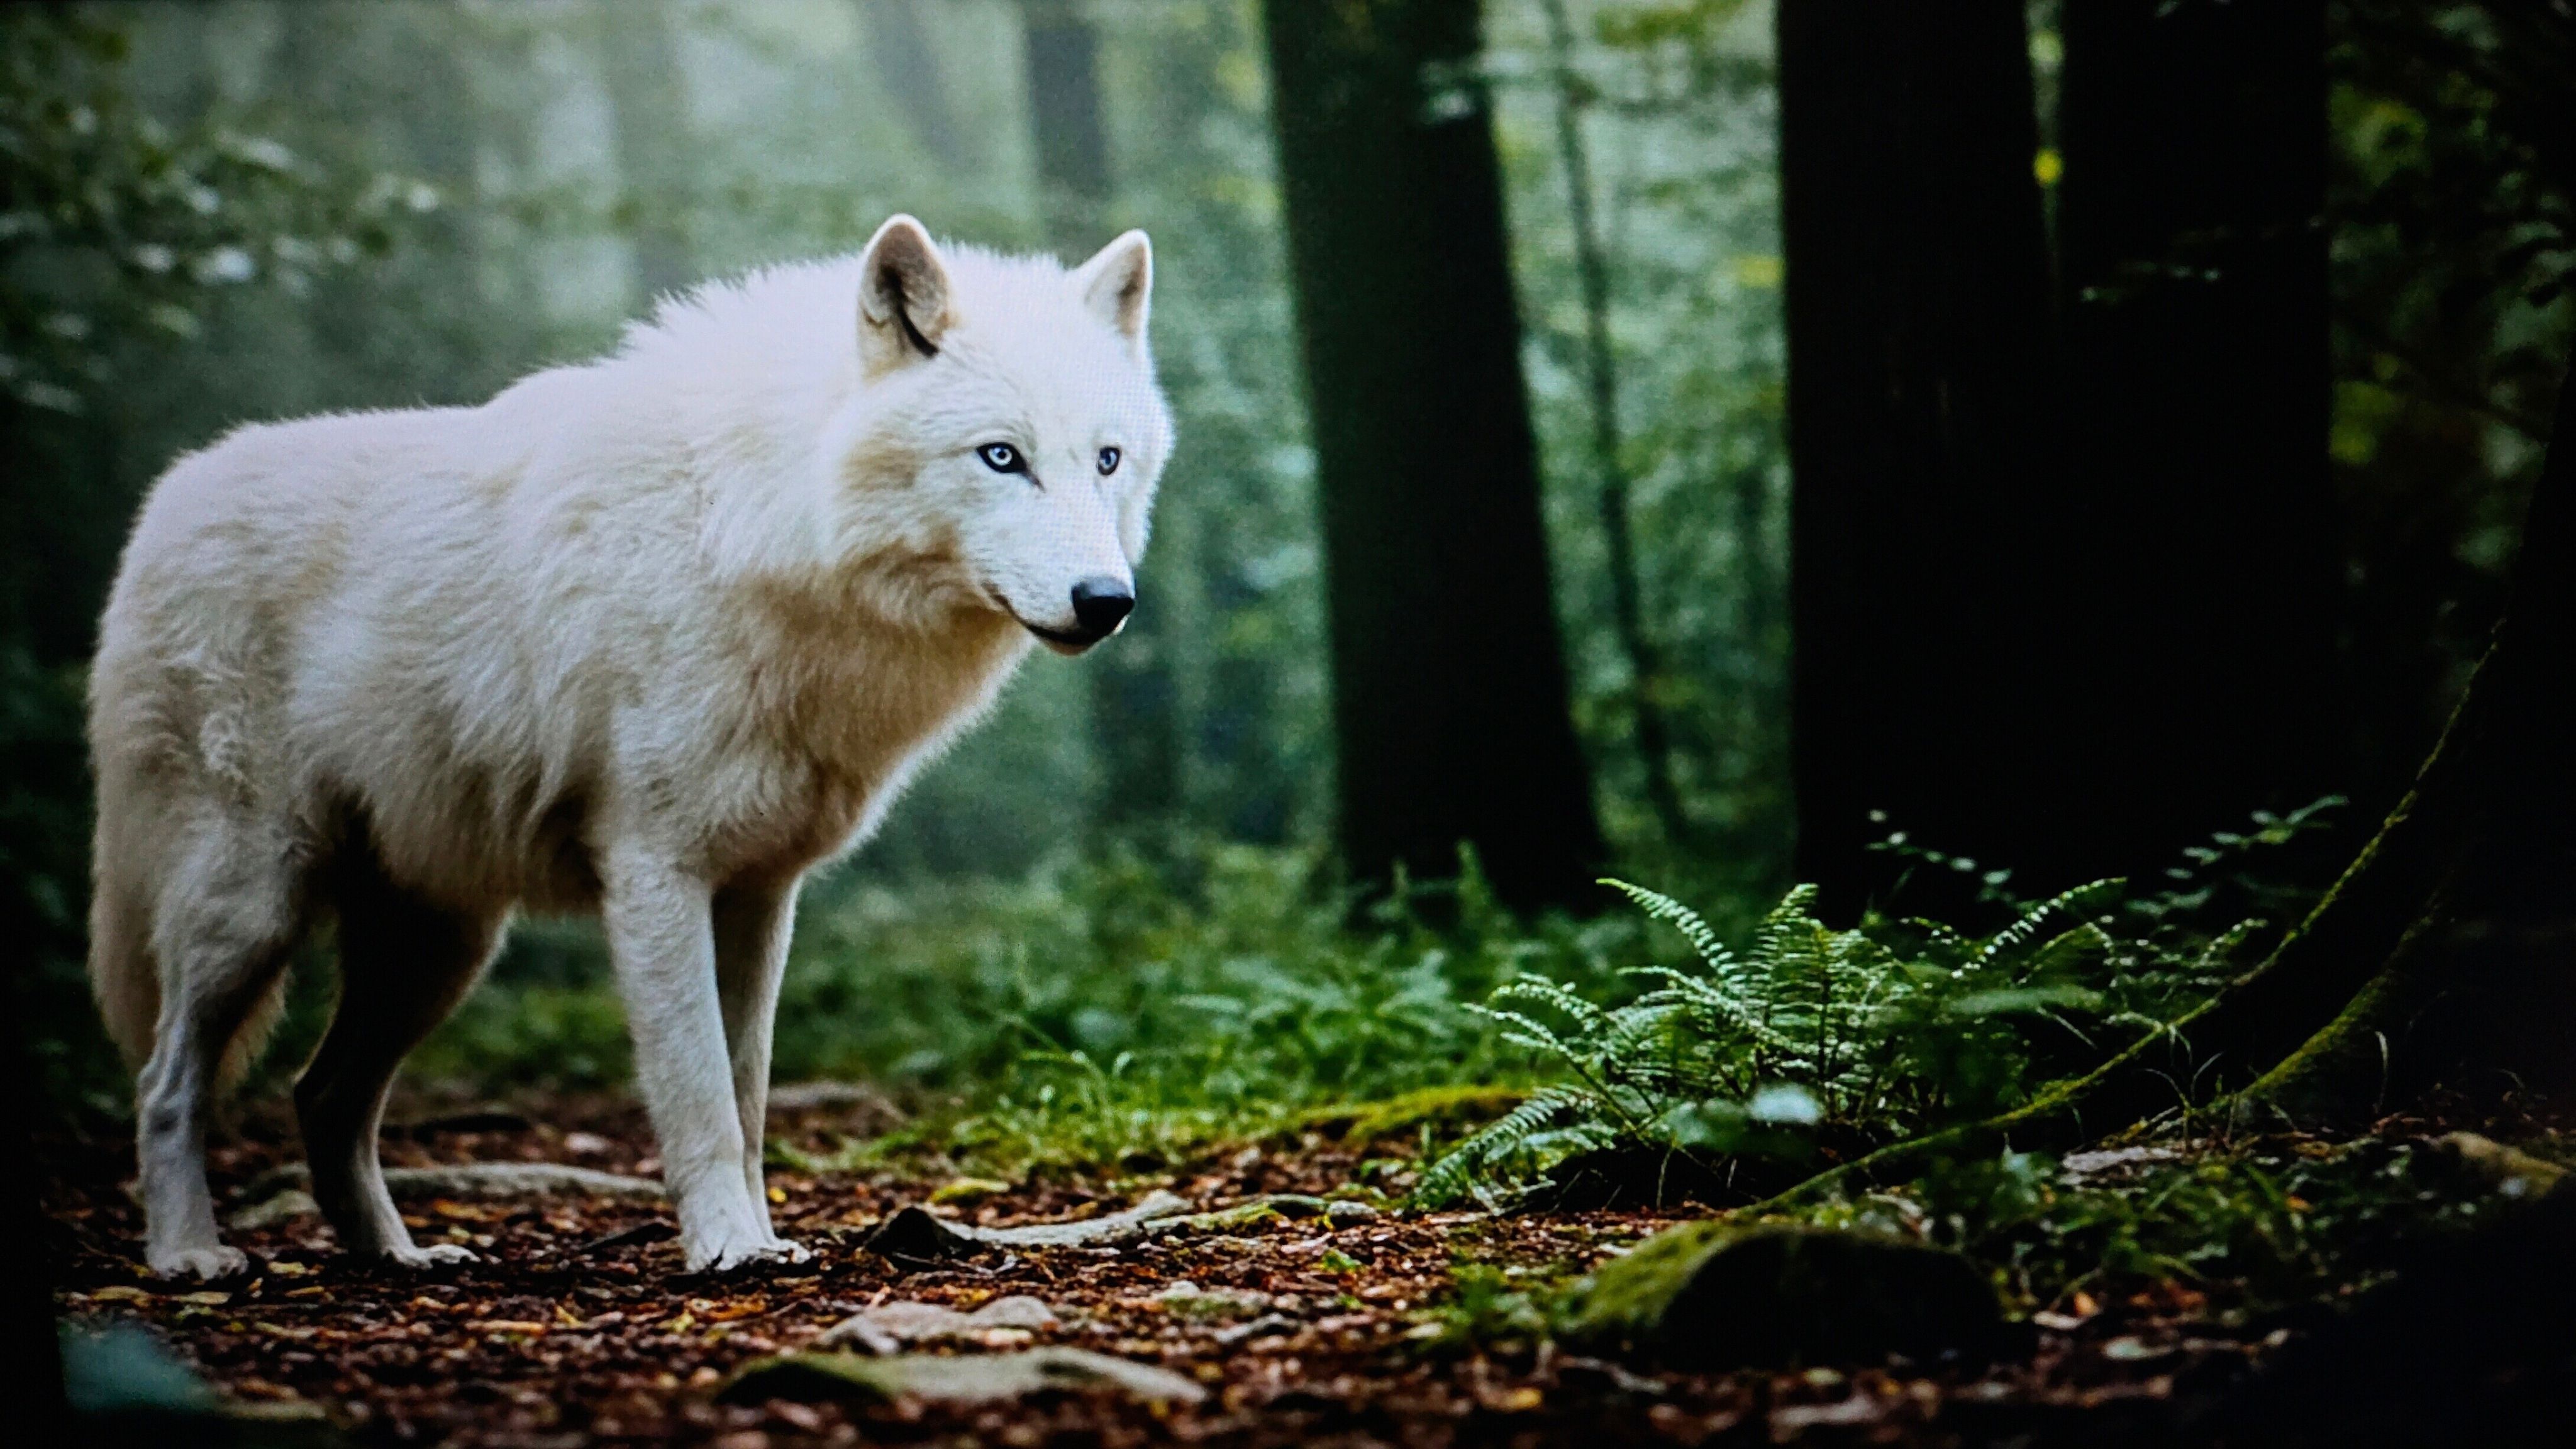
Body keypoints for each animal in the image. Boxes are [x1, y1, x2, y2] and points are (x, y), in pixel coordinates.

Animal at [87, 216, 1170, 1276]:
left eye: (1107, 460)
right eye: (1002, 457)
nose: (1107, 603)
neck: (754, 527)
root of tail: (165, 502)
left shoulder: (760, 893)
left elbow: (747, 1094)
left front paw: (764, 1240)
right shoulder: (656, 871)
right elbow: (698, 1094)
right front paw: (727, 1249)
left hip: (438, 947)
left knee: (322, 1095)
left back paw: (397, 1257)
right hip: (252, 906)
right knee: (166, 1081)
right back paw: (189, 1256)